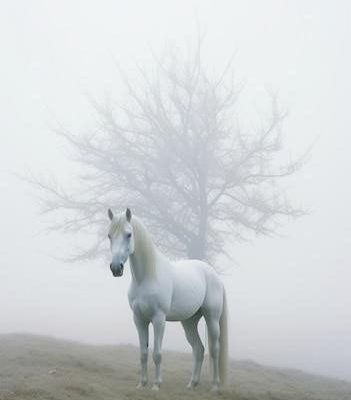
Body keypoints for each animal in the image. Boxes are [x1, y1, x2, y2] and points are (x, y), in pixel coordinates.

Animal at [106, 208, 228, 390]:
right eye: (109, 235)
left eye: (128, 234)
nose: (115, 268)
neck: (147, 276)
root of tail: (214, 275)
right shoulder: (139, 319)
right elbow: (143, 353)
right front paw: (142, 384)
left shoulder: (159, 319)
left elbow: (157, 353)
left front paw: (156, 385)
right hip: (189, 322)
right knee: (198, 349)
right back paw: (192, 384)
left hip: (212, 318)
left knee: (214, 350)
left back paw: (215, 386)